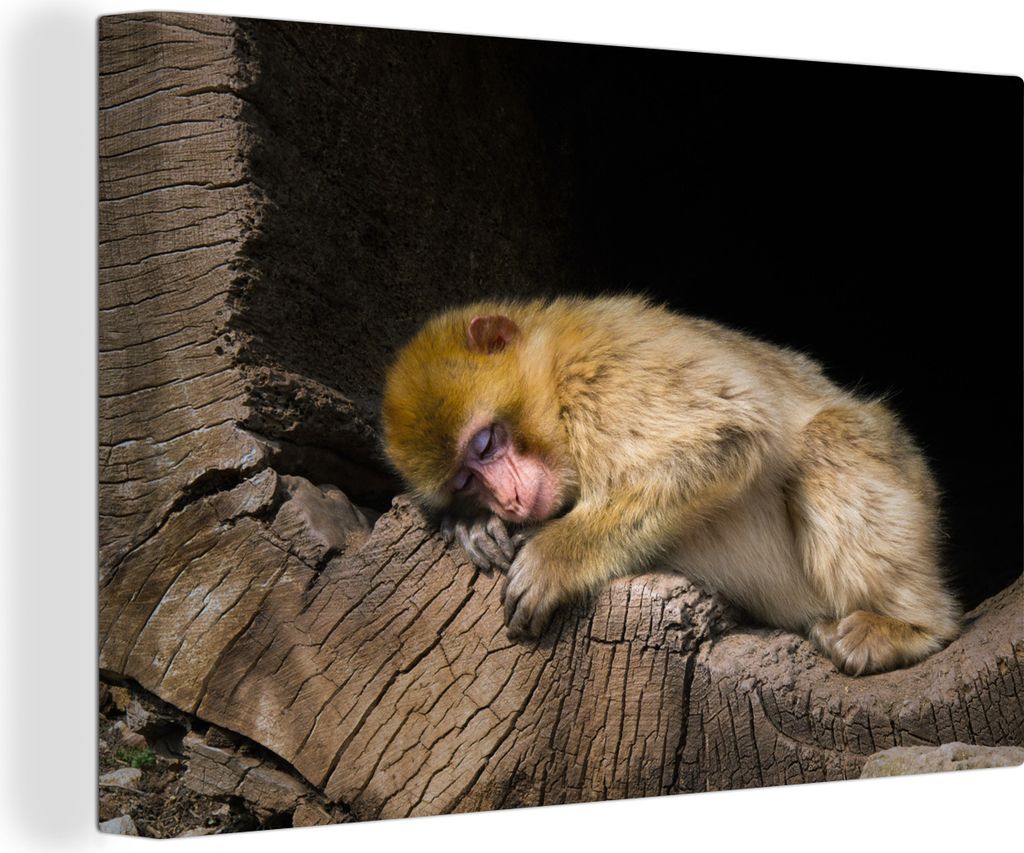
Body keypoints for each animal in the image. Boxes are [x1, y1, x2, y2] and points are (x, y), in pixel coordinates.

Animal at [381, 295, 960, 676]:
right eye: (464, 481)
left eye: (485, 444)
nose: (508, 499)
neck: (549, 373)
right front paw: (475, 527)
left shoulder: (598, 375)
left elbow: (728, 434)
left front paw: (555, 554)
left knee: (829, 438)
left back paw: (915, 627)